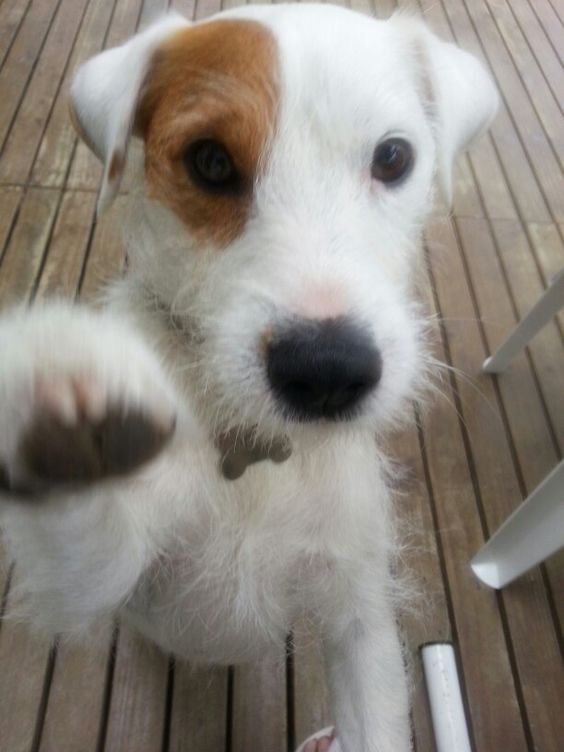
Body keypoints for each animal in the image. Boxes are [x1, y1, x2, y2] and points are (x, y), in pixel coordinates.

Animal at [0, 5, 496, 752]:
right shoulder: (112, 583)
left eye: (393, 158)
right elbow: (88, 540)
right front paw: (68, 403)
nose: (327, 370)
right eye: (209, 161)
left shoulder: (359, 617)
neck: (259, 453)